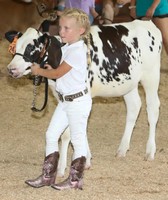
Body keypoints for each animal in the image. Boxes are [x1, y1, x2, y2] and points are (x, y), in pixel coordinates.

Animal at [7, 19, 162, 175]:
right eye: (16, 46)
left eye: (31, 47)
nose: (11, 69)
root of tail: (147, 23)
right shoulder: (61, 97)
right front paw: (86, 159)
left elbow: (69, 133)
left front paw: (63, 168)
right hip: (128, 83)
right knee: (134, 107)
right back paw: (122, 149)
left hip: (151, 77)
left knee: (153, 110)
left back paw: (150, 151)